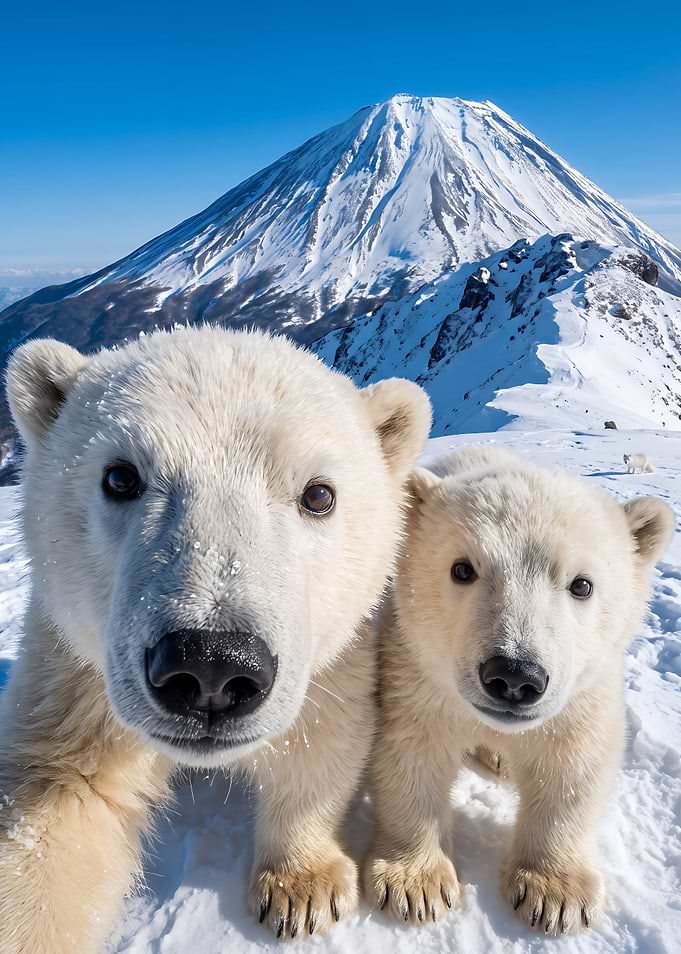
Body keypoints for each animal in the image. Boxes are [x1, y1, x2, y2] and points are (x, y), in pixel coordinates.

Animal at [0, 326, 431, 953]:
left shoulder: (330, 665)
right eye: (120, 476)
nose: (211, 665)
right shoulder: (75, 676)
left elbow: (323, 744)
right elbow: (60, 799)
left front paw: (301, 890)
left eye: (319, 494)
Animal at [365, 446, 674, 935]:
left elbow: (572, 764)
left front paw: (556, 895)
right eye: (462, 569)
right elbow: (412, 752)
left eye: (582, 584)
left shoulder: (581, 694)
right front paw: (416, 886)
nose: (513, 675)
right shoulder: (418, 673)